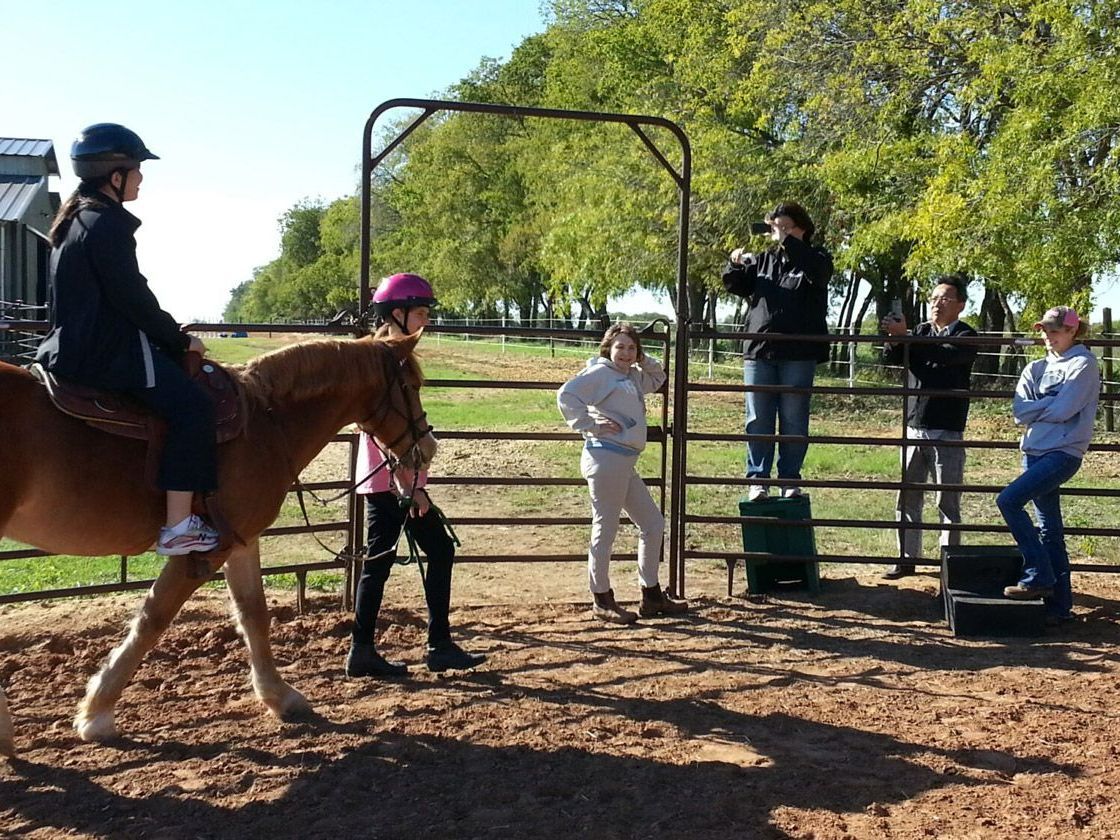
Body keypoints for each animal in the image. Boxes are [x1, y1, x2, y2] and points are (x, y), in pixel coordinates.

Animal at [0, 333, 434, 757]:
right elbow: (153, 617)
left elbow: (253, 613)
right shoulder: (204, 552)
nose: (427, 449)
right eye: (412, 385)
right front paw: (97, 714)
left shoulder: (241, 541)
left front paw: (280, 697)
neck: (266, 421)